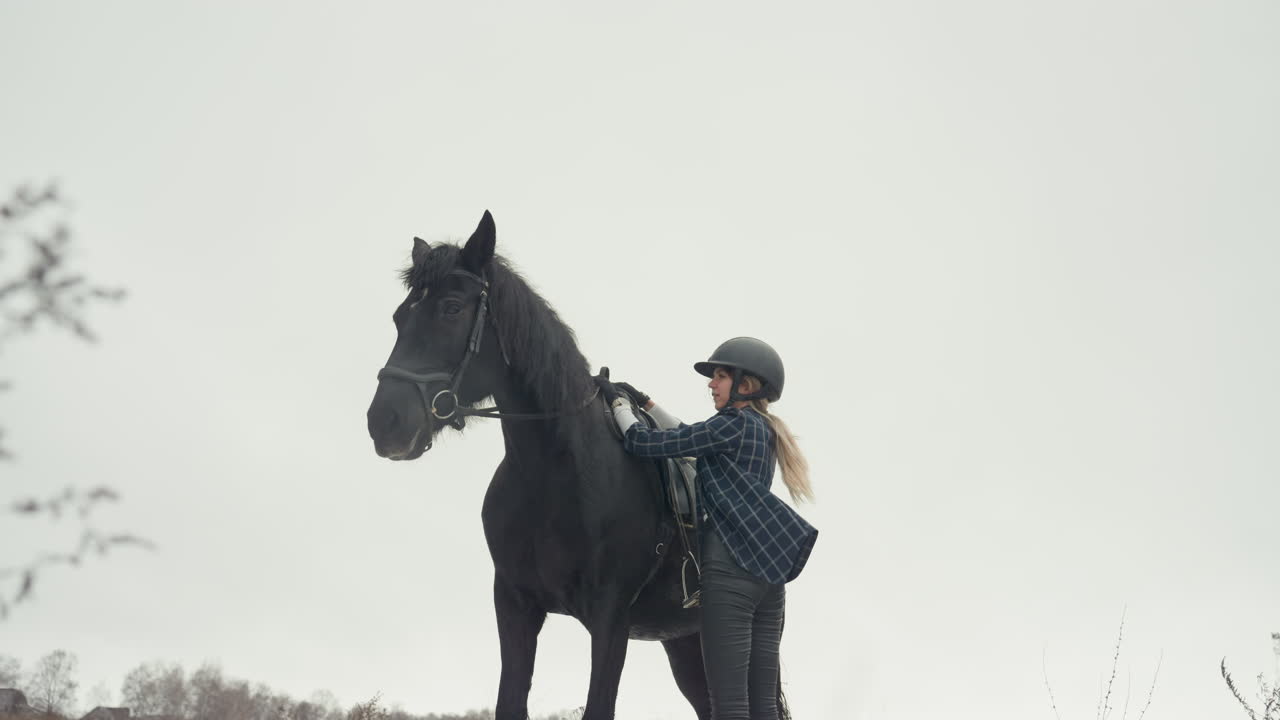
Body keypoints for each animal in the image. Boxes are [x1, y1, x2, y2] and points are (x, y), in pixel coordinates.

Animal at [366, 211, 790, 720]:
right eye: (400, 316)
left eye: (451, 308)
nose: (384, 421)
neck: (557, 475)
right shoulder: (515, 607)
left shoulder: (610, 621)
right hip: (687, 646)